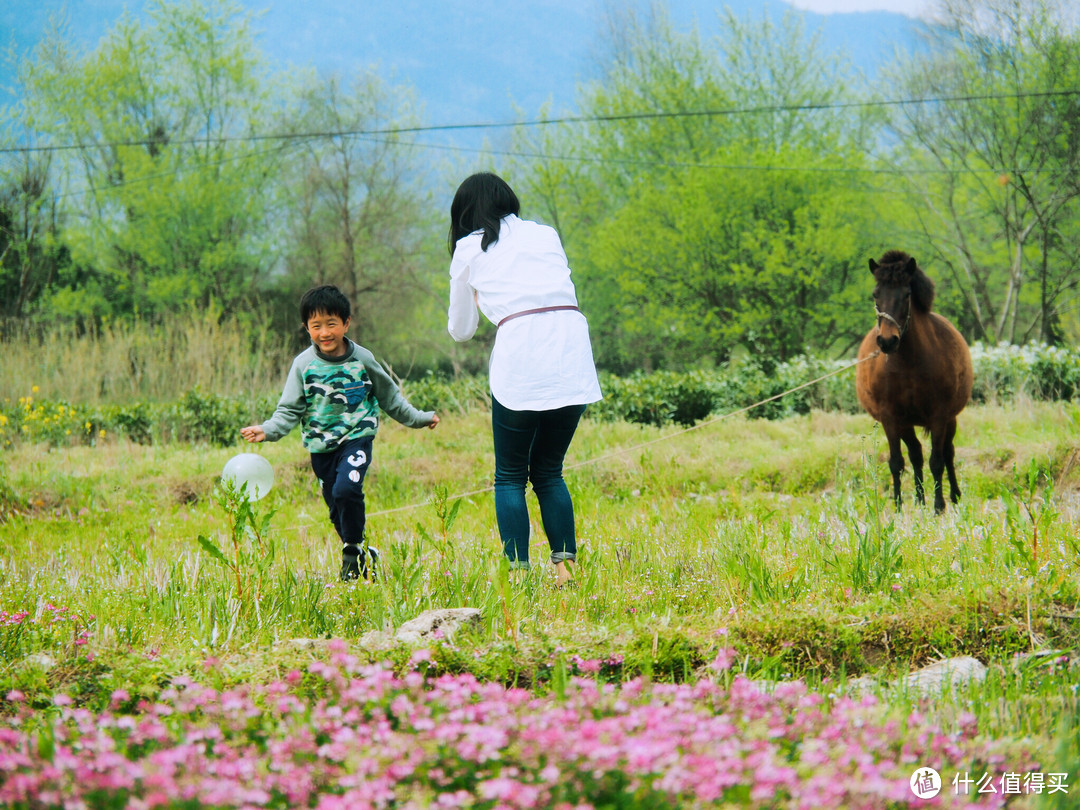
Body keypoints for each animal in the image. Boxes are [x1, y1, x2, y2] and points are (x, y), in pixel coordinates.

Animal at [855, 252, 976, 514]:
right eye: (876, 294)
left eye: (906, 294)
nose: (887, 341)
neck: (907, 364)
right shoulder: (890, 418)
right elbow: (896, 462)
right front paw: (899, 505)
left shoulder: (939, 416)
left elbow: (937, 461)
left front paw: (939, 506)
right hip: (905, 424)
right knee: (916, 453)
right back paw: (919, 500)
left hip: (950, 419)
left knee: (947, 453)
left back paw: (953, 496)